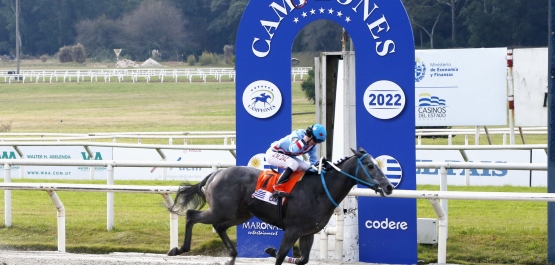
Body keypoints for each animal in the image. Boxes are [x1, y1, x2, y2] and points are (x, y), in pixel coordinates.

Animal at [168, 146, 396, 264]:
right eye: (369, 166)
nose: (389, 186)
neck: (320, 190)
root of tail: (215, 174)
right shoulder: (292, 230)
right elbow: (280, 255)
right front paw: (272, 251)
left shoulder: (307, 233)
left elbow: (302, 259)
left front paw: (269, 250)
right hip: (221, 210)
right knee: (192, 215)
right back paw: (178, 249)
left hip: (240, 214)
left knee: (219, 226)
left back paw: (232, 256)